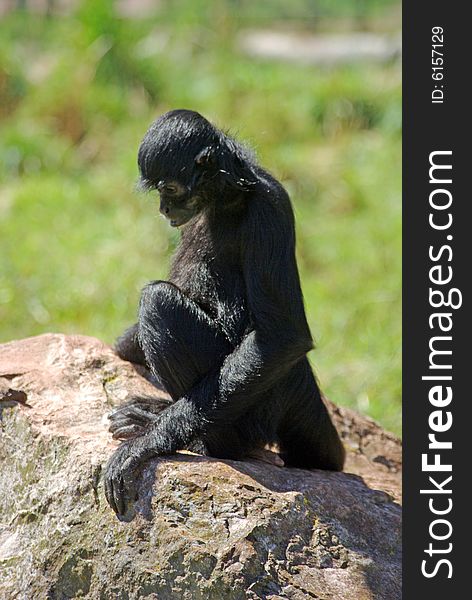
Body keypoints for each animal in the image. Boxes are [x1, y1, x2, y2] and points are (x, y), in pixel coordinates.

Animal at [105, 110, 344, 516]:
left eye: (170, 190)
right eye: (160, 194)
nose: (163, 208)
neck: (229, 195)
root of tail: (299, 380)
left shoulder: (268, 207)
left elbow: (283, 337)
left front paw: (146, 444)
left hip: (253, 413)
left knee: (158, 300)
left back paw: (201, 441)